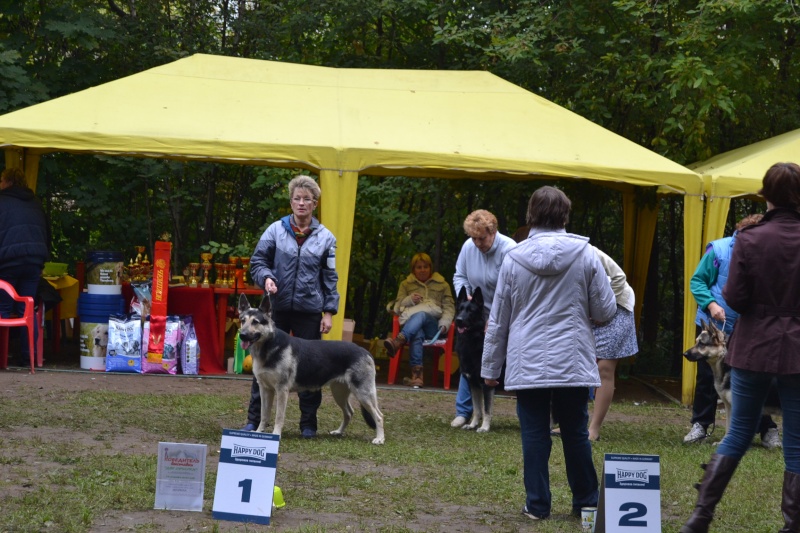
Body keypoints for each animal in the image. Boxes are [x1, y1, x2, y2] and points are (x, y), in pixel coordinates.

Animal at [238, 294, 384, 442]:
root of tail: (364, 351)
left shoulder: (281, 390)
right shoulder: (265, 389)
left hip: (363, 394)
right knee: (349, 412)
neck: (268, 346)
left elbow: (279, 417)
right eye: (242, 321)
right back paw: (339, 432)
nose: (242, 335)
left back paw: (380, 439)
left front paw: (276, 435)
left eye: (255, 322)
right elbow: (264, 415)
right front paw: (258, 432)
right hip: (339, 393)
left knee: (379, 416)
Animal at [456, 286, 494, 432]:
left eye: (471, 311)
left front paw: (484, 427)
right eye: (460, 309)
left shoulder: (486, 385)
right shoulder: (473, 383)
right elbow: (477, 409)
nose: (458, 320)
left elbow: (486, 409)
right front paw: (472, 424)